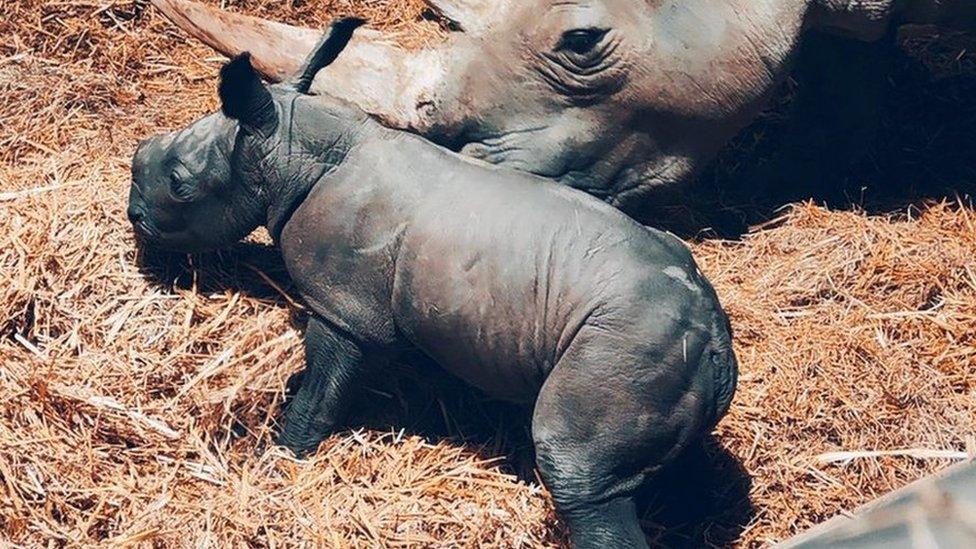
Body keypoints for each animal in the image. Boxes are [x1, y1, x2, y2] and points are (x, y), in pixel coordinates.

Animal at [130, 19, 740, 544]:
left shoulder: (343, 308)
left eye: (179, 184)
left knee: (577, 472)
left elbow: (321, 393)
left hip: (623, 346)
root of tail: (713, 335)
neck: (286, 148)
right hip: (660, 350)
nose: (134, 215)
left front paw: (280, 459)